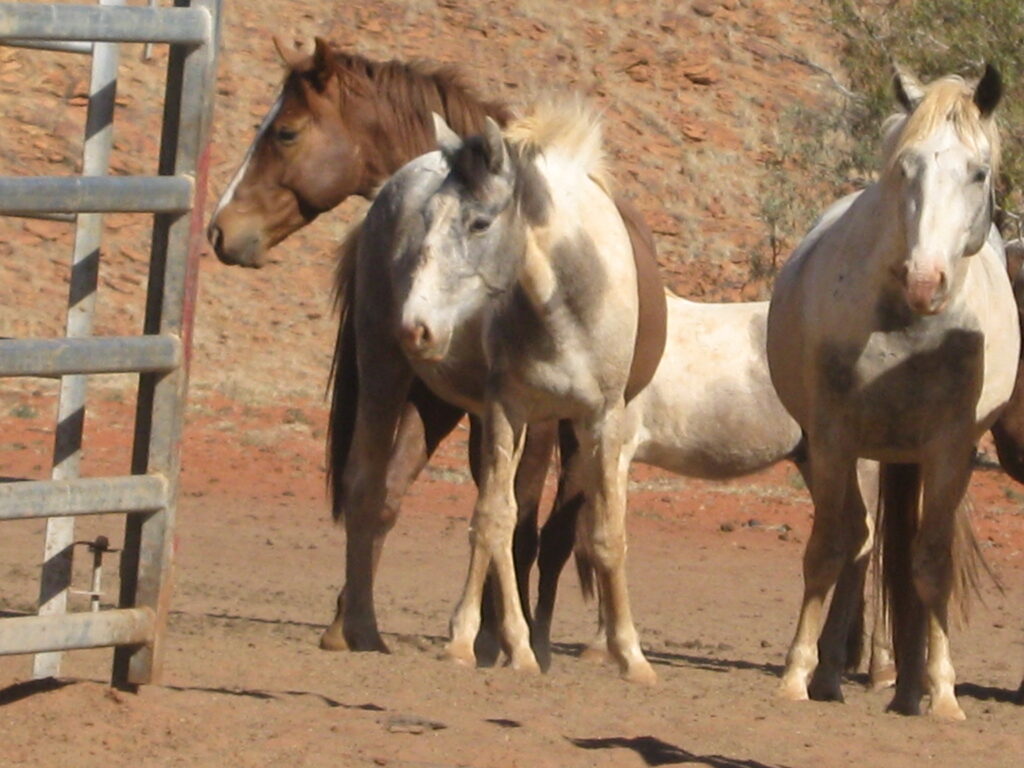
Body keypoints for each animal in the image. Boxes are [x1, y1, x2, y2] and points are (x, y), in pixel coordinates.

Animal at [382, 102, 659, 681]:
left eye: (480, 222)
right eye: (428, 216)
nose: (415, 329)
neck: (567, 306)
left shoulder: (602, 419)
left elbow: (606, 533)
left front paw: (631, 654)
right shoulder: (507, 410)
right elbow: (494, 519)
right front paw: (478, 641)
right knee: (501, 518)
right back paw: (504, 642)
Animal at [766, 65, 1017, 719]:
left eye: (978, 172)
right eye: (906, 167)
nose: (926, 280)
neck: (907, 325)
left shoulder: (951, 451)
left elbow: (931, 562)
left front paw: (945, 693)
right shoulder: (834, 439)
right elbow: (827, 549)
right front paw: (795, 675)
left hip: (908, 458)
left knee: (898, 553)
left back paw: (908, 687)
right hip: (866, 454)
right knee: (857, 543)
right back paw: (832, 674)